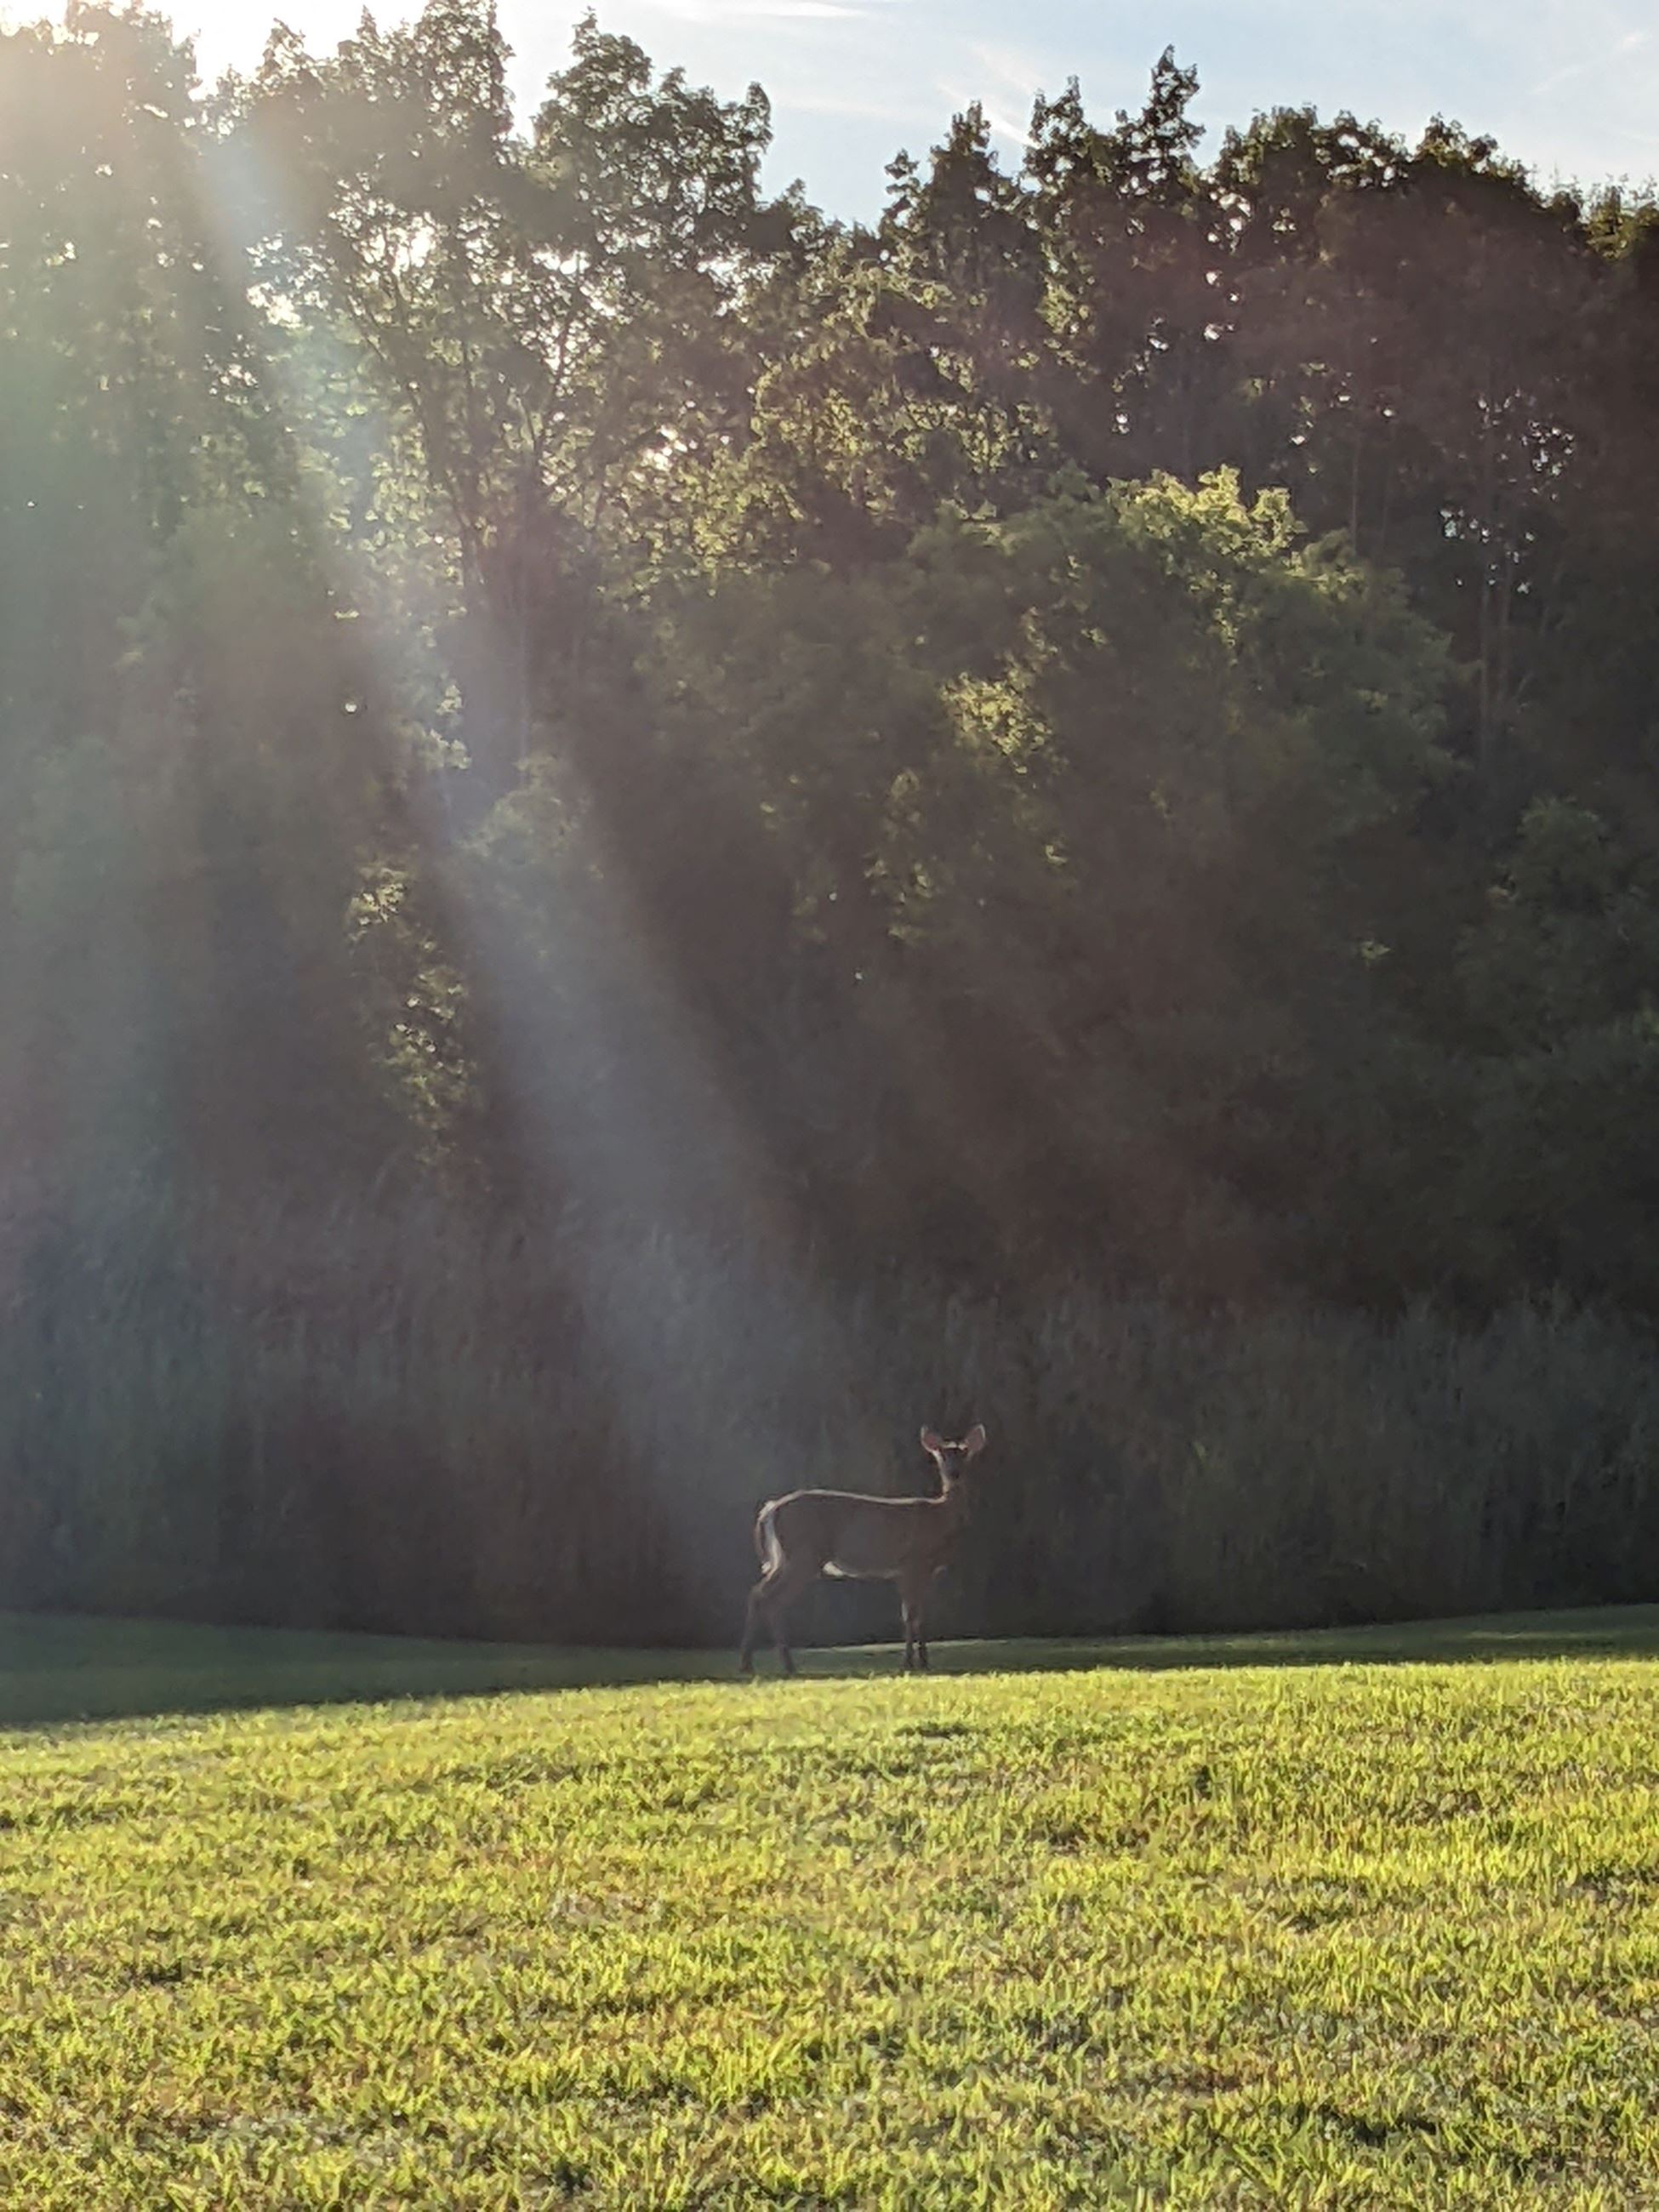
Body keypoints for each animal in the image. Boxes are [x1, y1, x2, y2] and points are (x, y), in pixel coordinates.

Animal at [738, 1424, 988, 1677]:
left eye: (965, 1453)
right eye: (941, 1455)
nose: (954, 1473)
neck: (940, 1519)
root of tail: (769, 1510)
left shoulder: (924, 1571)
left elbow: (922, 1616)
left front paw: (924, 1662)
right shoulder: (911, 1562)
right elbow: (910, 1615)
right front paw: (908, 1663)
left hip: (784, 1558)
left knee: (758, 1594)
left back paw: (750, 1664)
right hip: (802, 1554)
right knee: (772, 1600)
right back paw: (782, 1665)